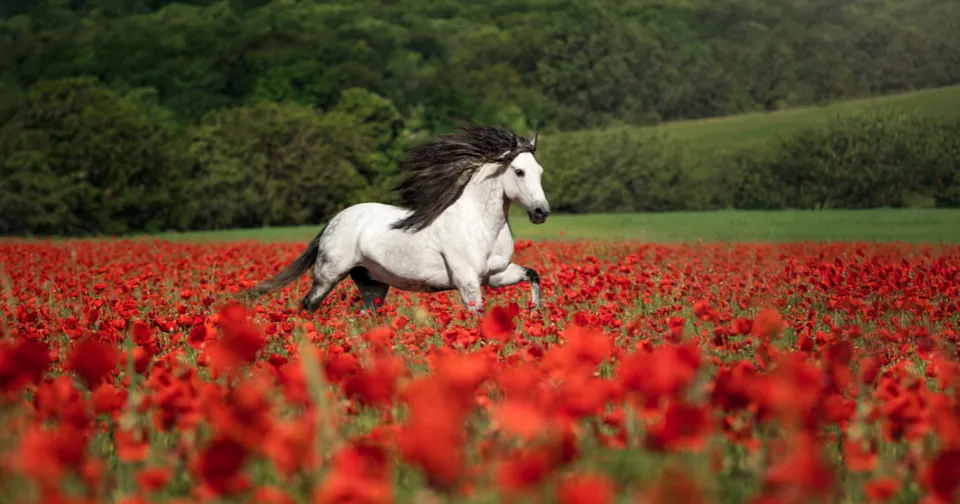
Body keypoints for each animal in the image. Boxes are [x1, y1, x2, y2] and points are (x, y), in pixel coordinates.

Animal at [242, 121, 551, 316]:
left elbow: (532, 275)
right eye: (519, 171)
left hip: (373, 285)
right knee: (308, 304)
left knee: (366, 316)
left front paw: (536, 312)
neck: (481, 226)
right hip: (329, 274)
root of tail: (334, 221)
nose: (541, 212)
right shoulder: (468, 280)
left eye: (540, 171)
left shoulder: (495, 276)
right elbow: (478, 316)